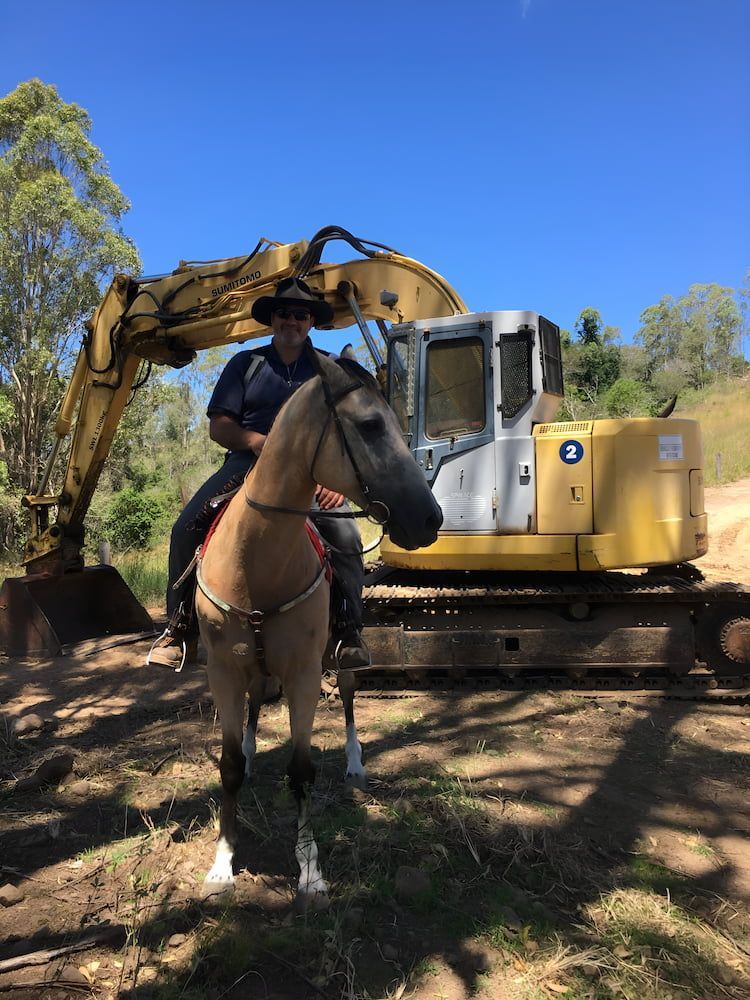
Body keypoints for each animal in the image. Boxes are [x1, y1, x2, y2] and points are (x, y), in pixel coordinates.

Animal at [194, 349, 443, 909]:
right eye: (370, 425)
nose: (430, 518)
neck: (256, 559)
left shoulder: (306, 675)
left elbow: (302, 770)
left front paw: (309, 869)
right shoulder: (224, 671)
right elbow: (229, 765)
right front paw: (222, 862)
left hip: (340, 654)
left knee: (348, 696)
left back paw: (354, 762)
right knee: (256, 707)